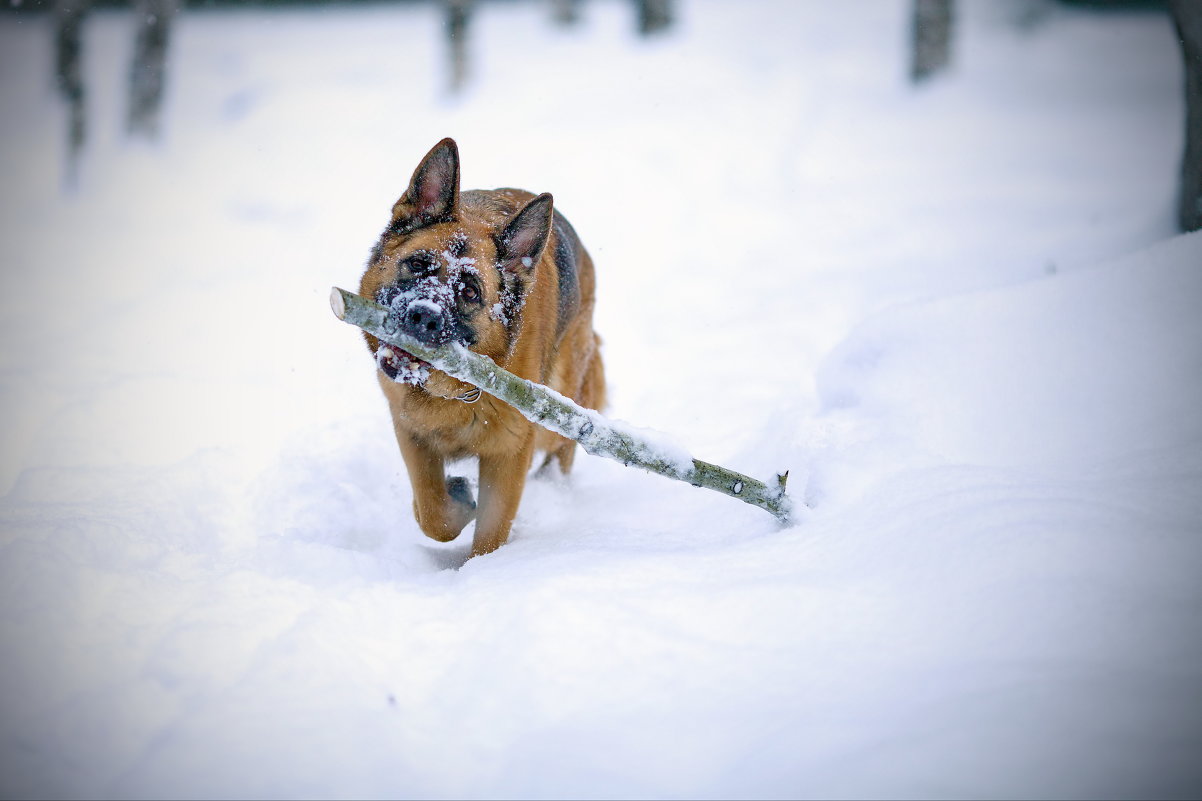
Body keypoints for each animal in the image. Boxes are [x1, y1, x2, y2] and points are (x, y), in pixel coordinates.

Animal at [353, 137, 601, 555]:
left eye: (469, 292)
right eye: (417, 265)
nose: (423, 317)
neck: (453, 391)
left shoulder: (507, 455)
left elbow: (489, 534)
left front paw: (484, 568)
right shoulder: (411, 431)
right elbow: (432, 514)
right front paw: (455, 500)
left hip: (558, 408)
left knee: (566, 441)